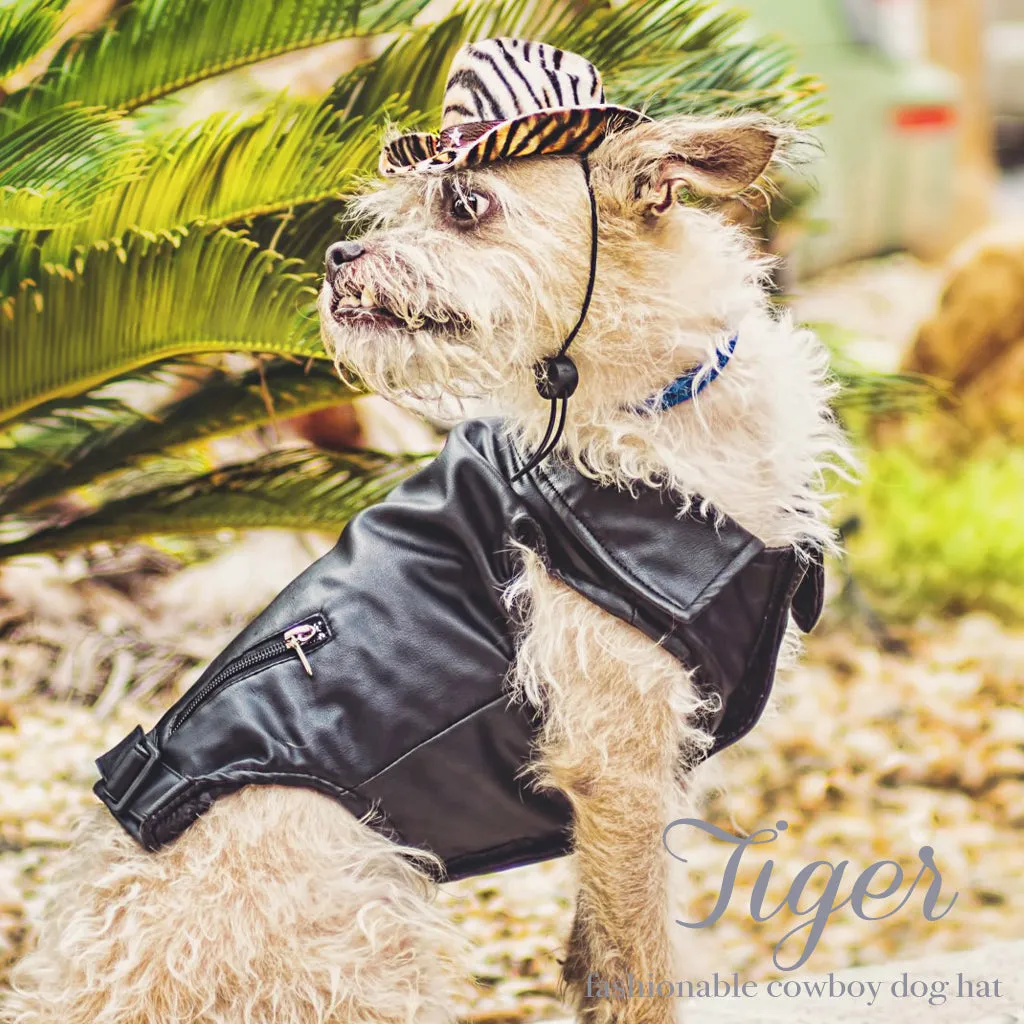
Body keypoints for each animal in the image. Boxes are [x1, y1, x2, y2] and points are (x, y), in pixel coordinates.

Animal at [4, 36, 843, 1024]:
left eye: (465, 203)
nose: (337, 253)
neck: (645, 413)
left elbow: (598, 947)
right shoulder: (617, 764)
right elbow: (639, 961)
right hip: (367, 907)